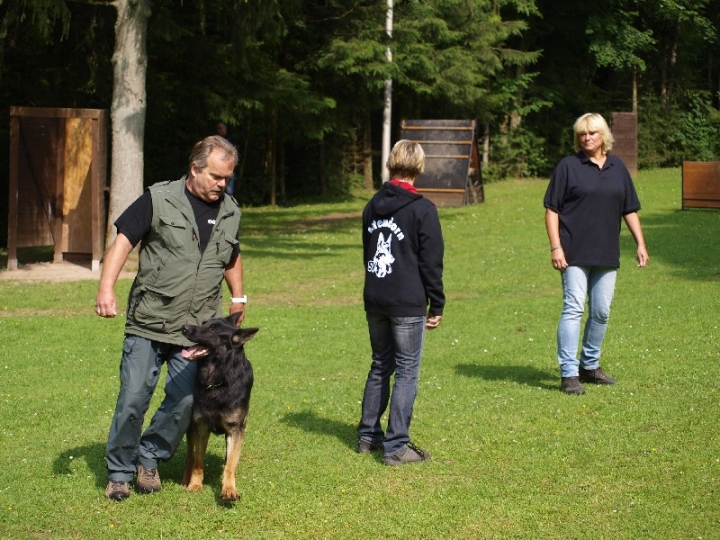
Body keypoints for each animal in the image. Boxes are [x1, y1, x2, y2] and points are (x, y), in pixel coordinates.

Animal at [180, 312, 258, 502]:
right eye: (203, 323)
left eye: (213, 329)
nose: (184, 327)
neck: (217, 381)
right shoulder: (201, 426)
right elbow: (198, 460)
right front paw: (195, 484)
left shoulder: (235, 430)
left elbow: (230, 464)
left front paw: (229, 489)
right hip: (191, 428)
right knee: (190, 456)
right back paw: (186, 479)